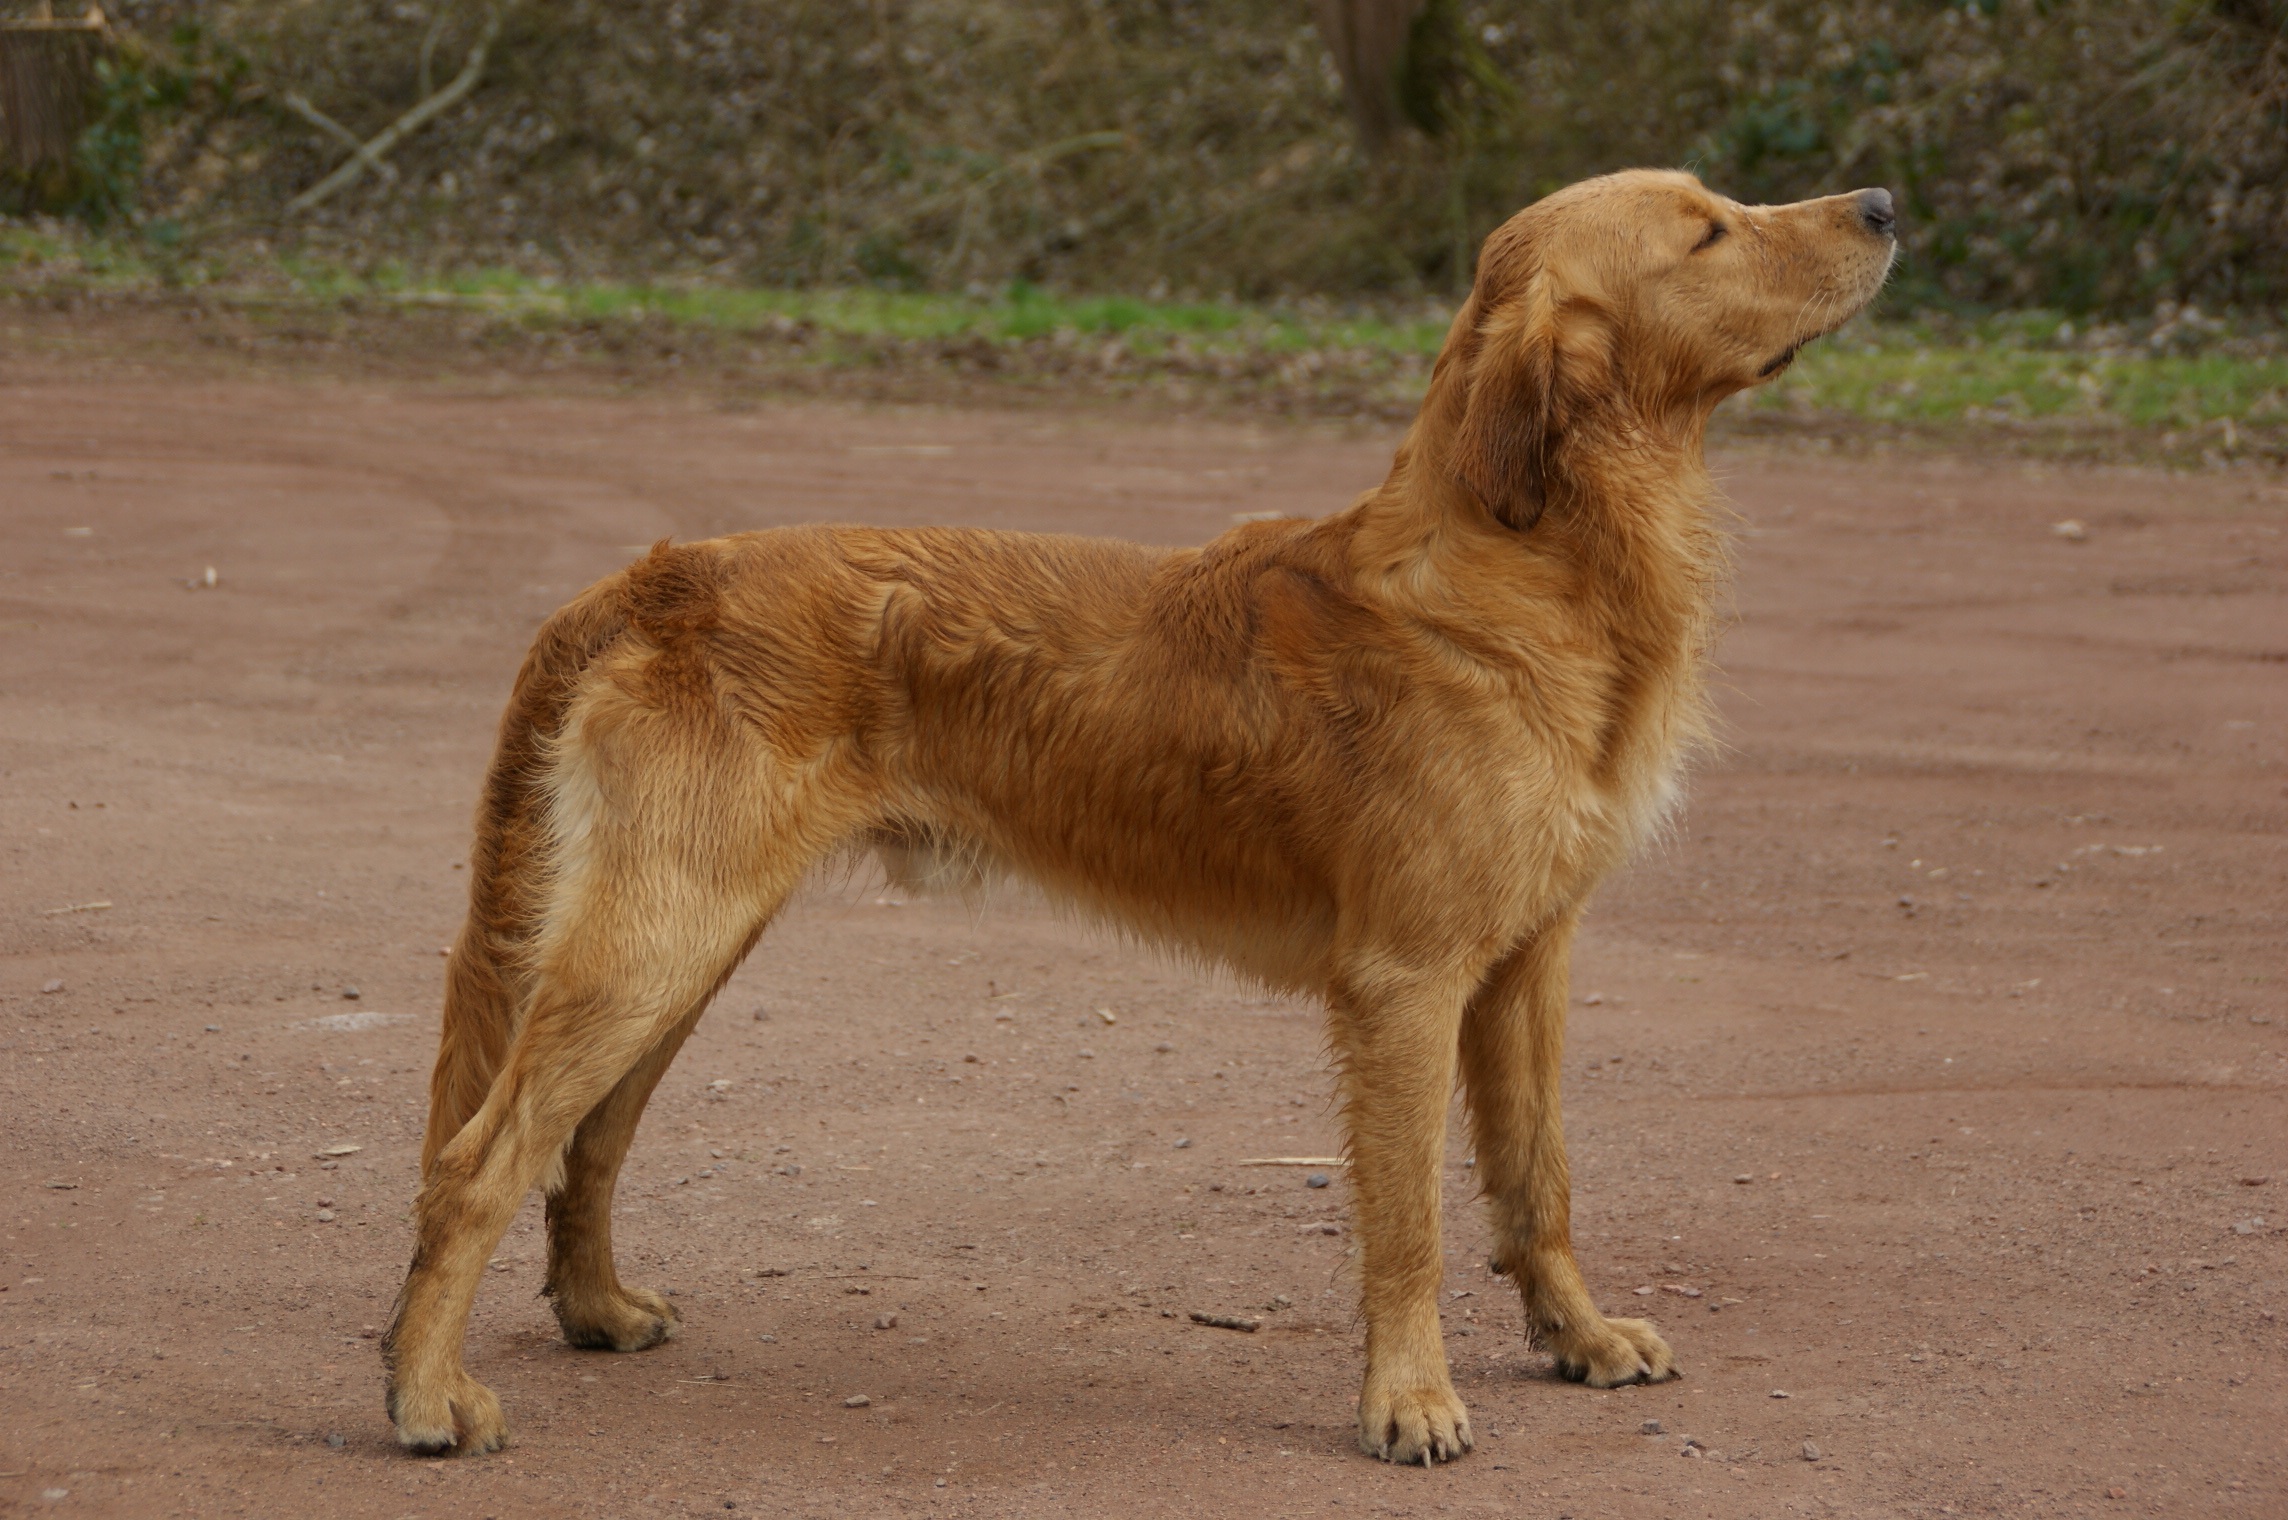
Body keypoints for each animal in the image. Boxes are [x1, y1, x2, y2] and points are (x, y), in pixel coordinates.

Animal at [388, 171, 1894, 1465]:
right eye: (1706, 231)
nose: (1883, 203)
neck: (1520, 565)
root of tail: (646, 578)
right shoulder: (1405, 982)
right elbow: (1407, 1224)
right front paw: (1411, 1401)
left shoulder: (1529, 960)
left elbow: (1538, 1178)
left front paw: (1575, 1337)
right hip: (654, 940)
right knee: (477, 1159)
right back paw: (423, 1394)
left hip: (687, 949)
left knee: (585, 1140)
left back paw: (596, 1309)